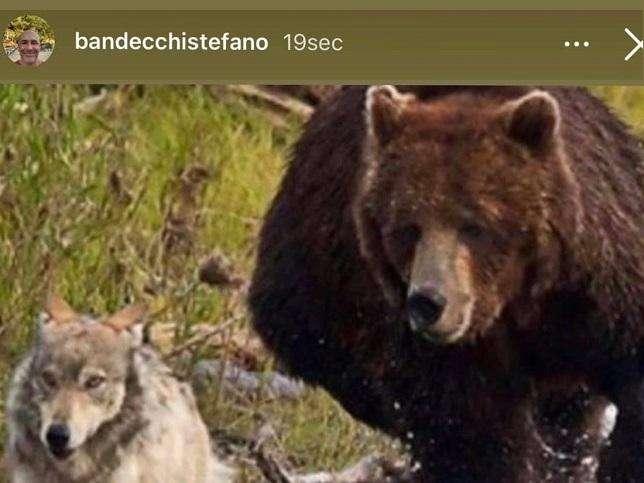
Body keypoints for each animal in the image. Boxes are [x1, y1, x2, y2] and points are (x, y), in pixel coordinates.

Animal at [248, 85, 644, 482]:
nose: (428, 302)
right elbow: (468, 434)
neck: (514, 301)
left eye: (475, 225)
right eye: (407, 227)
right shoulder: (430, 347)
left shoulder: (599, 287)